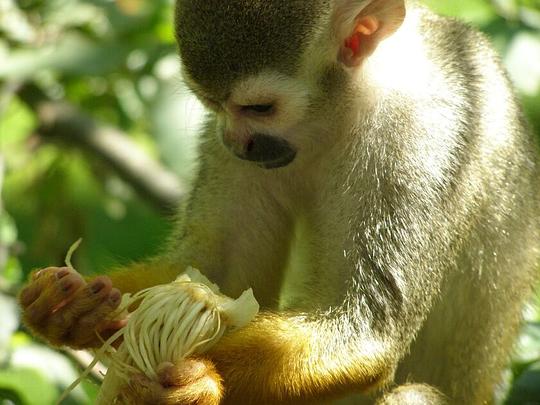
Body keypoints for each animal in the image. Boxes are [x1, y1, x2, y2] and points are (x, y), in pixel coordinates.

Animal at [17, 0, 540, 404]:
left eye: (259, 108)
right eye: (214, 105)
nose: (234, 141)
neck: (350, 101)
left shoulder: (423, 139)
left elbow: (365, 334)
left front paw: (197, 382)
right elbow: (221, 277)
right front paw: (70, 310)